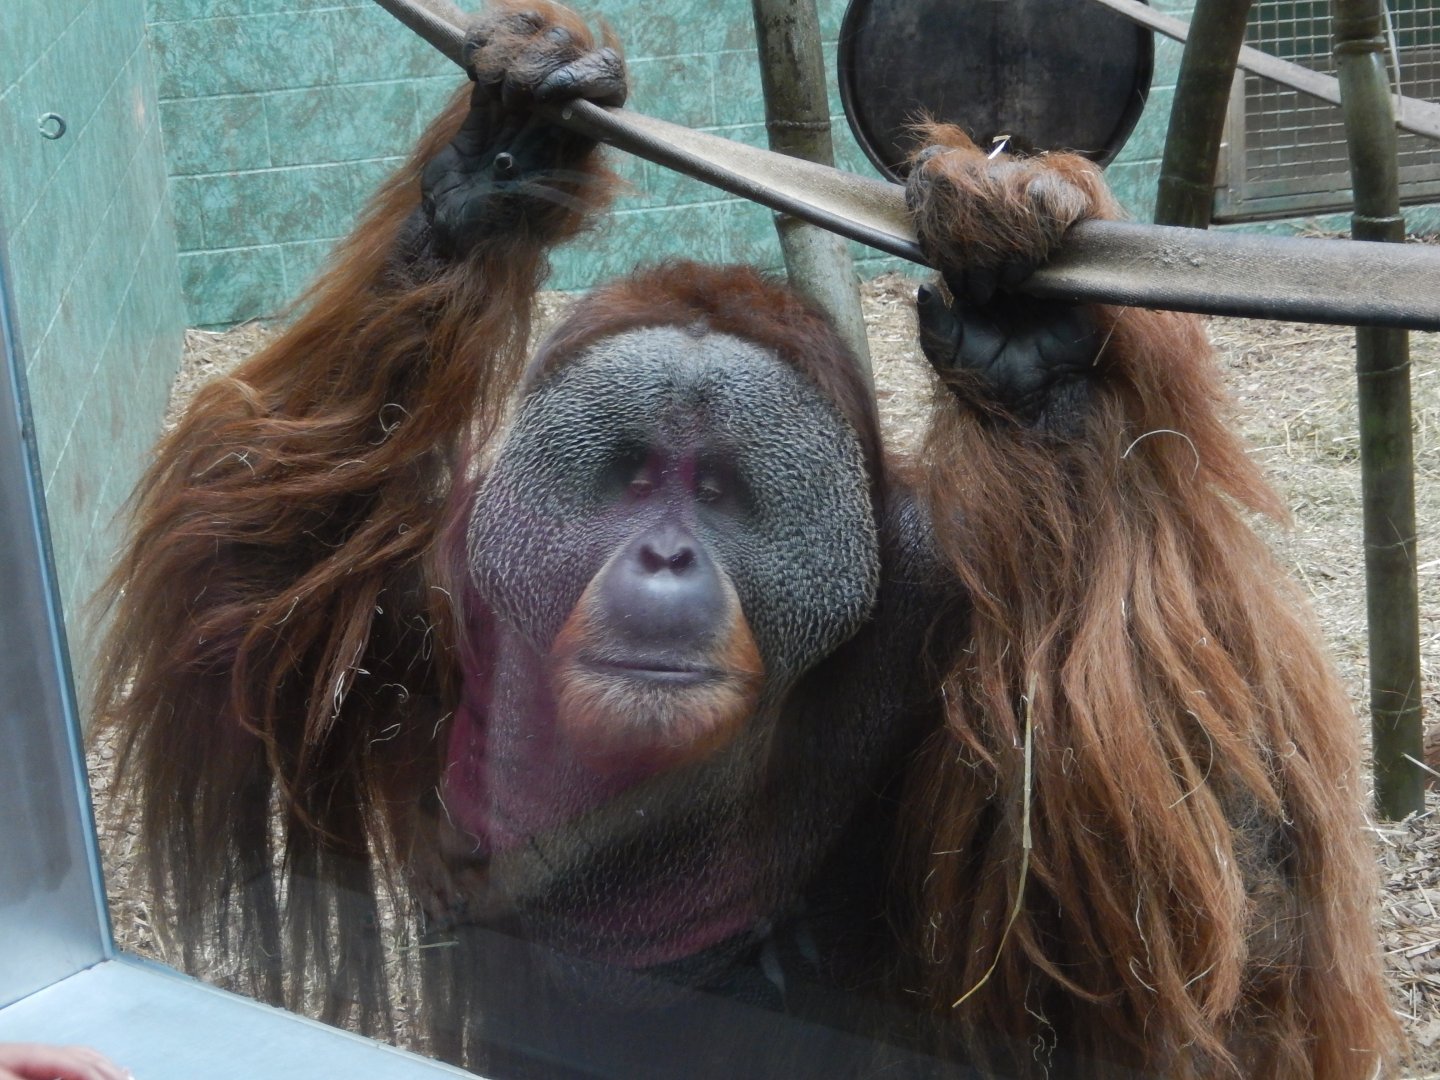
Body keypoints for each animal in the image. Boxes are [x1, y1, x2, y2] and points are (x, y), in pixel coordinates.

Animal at [94, 2, 1400, 1077]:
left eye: (720, 491)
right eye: (633, 478)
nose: (665, 555)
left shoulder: (937, 595)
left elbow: (1211, 907)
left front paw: (1029, 335)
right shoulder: (446, 587)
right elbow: (250, 596)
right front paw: (500, 157)